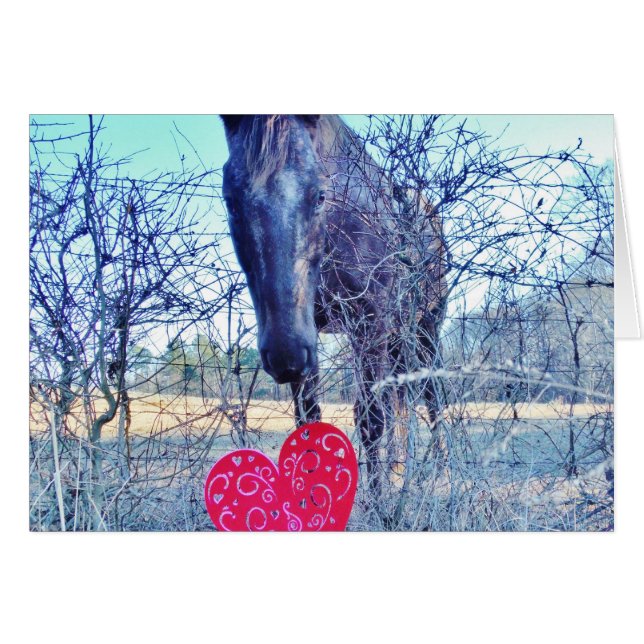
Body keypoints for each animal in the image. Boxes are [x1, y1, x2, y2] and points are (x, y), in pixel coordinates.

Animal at [220, 115, 447, 497]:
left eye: (321, 194)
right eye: (230, 200)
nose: (283, 354)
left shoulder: (370, 323)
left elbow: (371, 419)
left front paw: (378, 502)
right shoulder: (308, 336)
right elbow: (308, 421)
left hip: (425, 331)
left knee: (432, 398)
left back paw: (439, 468)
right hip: (397, 339)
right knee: (401, 401)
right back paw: (401, 468)